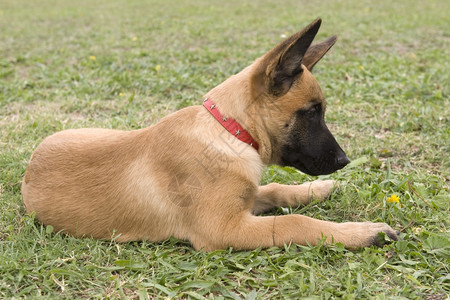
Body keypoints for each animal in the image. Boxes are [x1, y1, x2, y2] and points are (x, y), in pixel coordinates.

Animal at [22, 17, 400, 250]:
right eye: (311, 113)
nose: (344, 160)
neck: (229, 130)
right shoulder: (226, 228)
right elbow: (296, 223)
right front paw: (362, 232)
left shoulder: (243, 203)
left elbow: (274, 189)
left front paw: (315, 189)